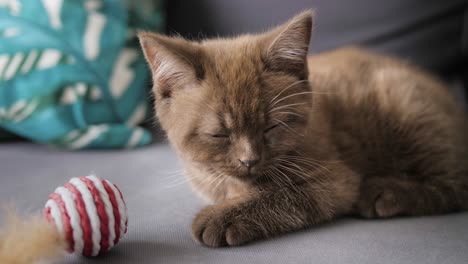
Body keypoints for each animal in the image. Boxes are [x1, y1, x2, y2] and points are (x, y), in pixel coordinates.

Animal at [139, 11, 468, 248]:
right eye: (219, 134)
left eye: (271, 126)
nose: (249, 160)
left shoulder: (335, 180)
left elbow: (286, 196)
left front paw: (221, 217)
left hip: (406, 107)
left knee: (456, 183)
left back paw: (383, 192)